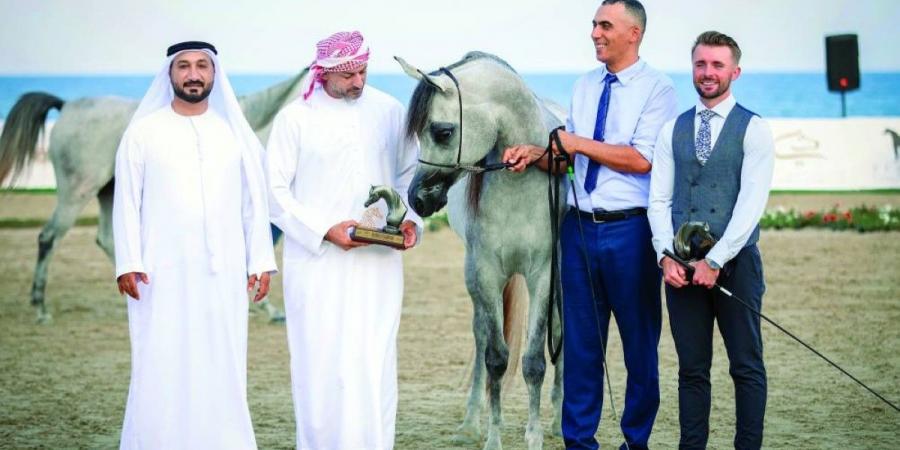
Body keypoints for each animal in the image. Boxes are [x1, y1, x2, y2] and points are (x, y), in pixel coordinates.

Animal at [0, 68, 310, 324]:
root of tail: (67, 106)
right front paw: (266, 308)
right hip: (77, 192)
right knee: (49, 238)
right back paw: (41, 309)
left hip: (109, 192)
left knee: (109, 240)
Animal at [404, 53, 568, 450]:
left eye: (442, 132)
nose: (418, 198)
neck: (520, 184)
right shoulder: (486, 272)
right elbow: (495, 358)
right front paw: (493, 437)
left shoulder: (544, 273)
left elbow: (534, 361)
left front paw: (536, 436)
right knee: (480, 336)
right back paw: (470, 422)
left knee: (559, 333)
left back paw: (559, 420)